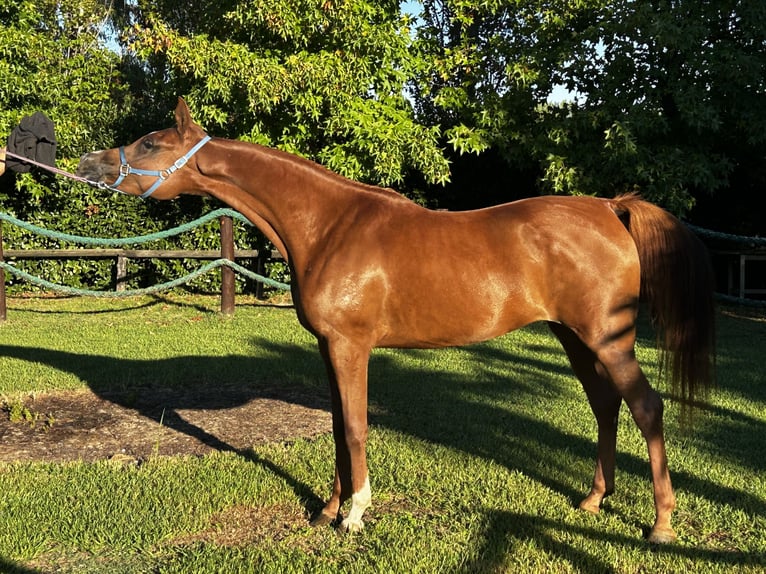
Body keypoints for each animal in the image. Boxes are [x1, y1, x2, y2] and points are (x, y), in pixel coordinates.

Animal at [77, 98, 715, 544]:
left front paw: (355, 514)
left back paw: (661, 523)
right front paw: (327, 509)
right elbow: (339, 427)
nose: (88, 163)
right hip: (574, 336)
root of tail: (610, 206)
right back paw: (591, 501)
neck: (330, 224)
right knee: (605, 406)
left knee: (645, 407)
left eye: (150, 142)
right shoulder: (328, 347)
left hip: (608, 338)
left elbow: (357, 427)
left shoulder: (350, 346)